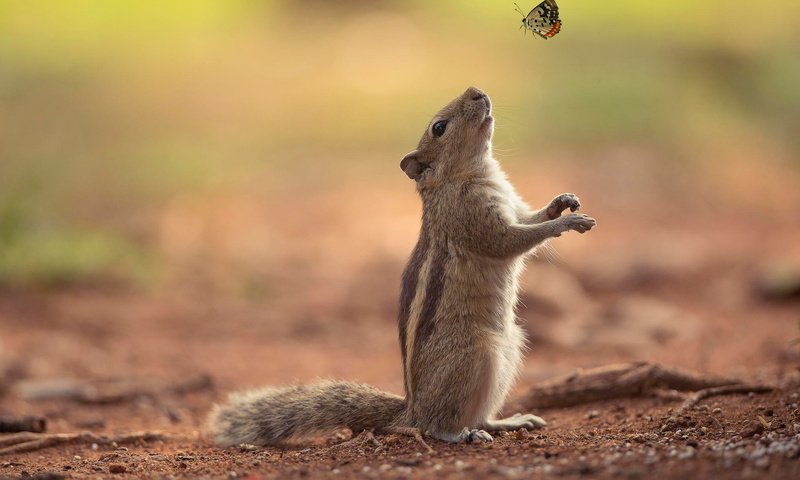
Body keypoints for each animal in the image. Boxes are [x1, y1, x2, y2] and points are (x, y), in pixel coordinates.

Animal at [206, 86, 592, 446]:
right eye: (439, 127)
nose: (476, 91)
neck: (466, 175)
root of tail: (411, 408)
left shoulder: (513, 206)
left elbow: (531, 217)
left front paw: (562, 202)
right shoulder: (473, 219)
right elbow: (511, 241)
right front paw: (566, 223)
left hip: (511, 347)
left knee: (478, 415)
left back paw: (508, 422)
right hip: (477, 355)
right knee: (437, 425)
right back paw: (461, 434)